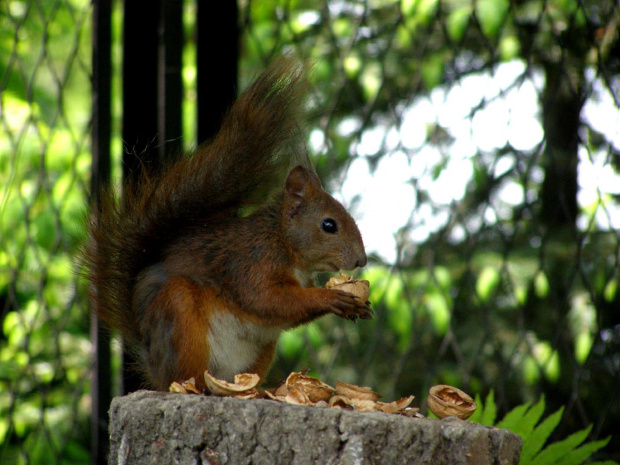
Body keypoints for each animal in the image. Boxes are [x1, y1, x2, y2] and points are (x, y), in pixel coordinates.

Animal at [84, 57, 370, 392]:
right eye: (329, 225)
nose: (361, 260)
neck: (281, 240)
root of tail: (154, 364)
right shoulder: (252, 263)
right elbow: (268, 299)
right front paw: (332, 298)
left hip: (261, 349)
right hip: (180, 316)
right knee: (186, 375)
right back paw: (197, 387)